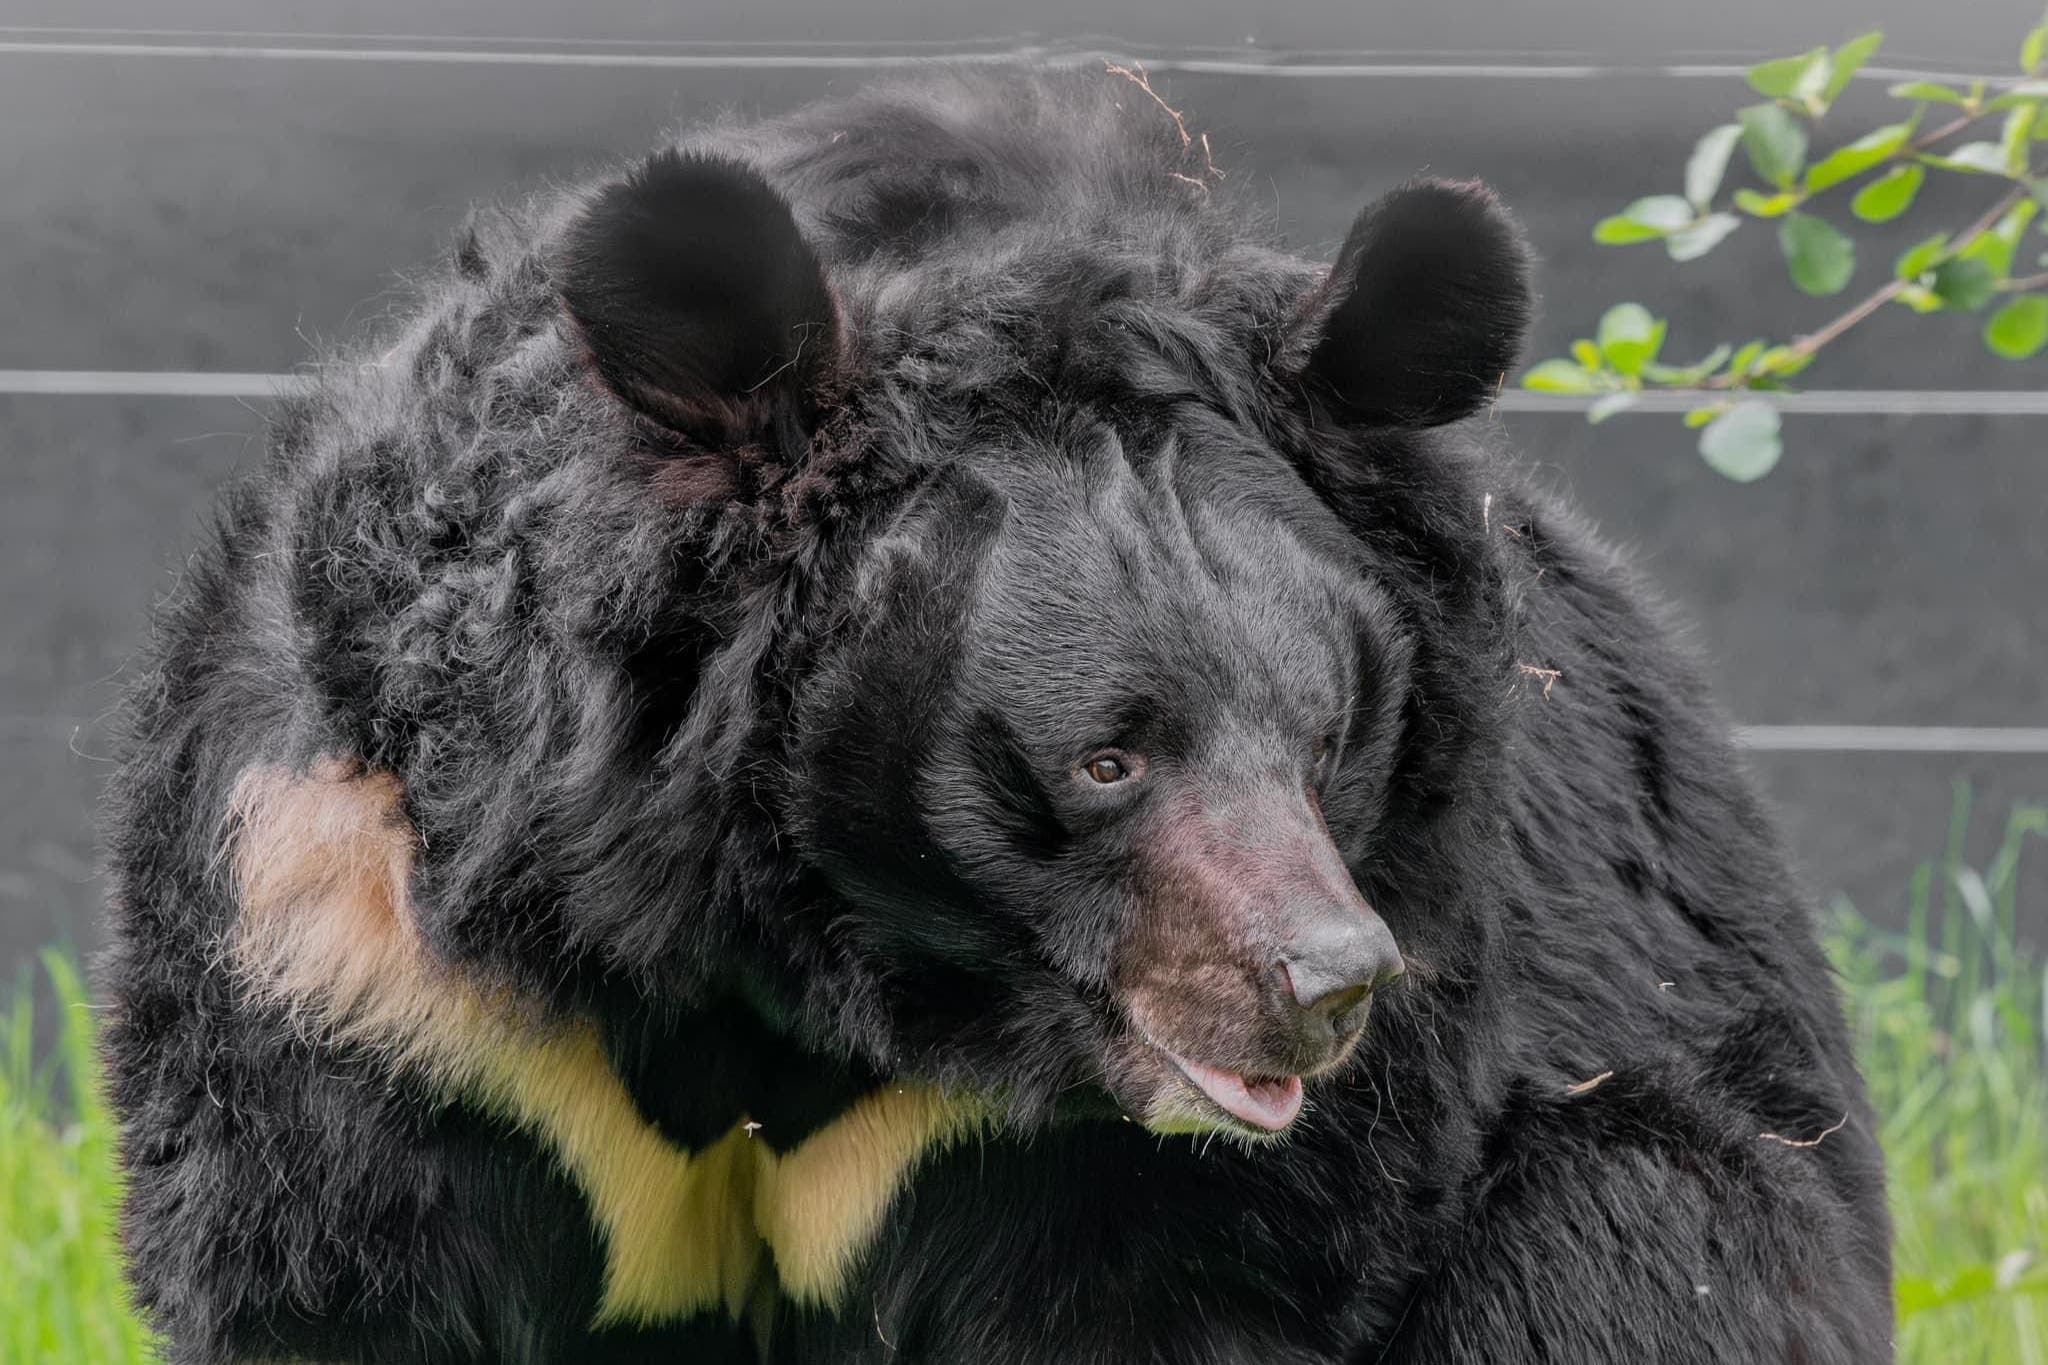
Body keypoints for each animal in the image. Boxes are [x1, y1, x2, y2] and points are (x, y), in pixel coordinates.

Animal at [96, 66, 1884, 1365]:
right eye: (1109, 758)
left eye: (1327, 744)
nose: (1325, 987)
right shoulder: (357, 946)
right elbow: (350, 1267)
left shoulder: (1184, 1158)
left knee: (1629, 1224)